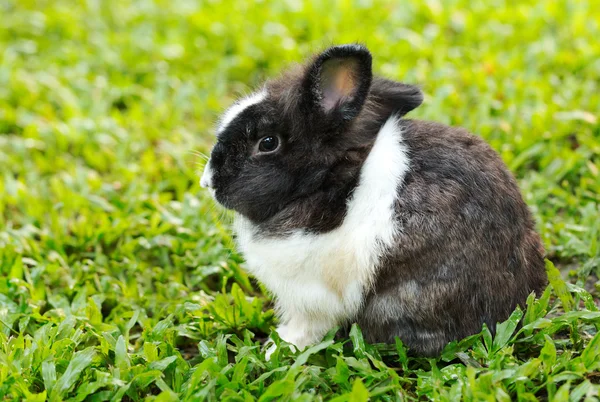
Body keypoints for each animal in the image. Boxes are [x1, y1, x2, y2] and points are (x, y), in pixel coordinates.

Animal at [200, 44, 548, 358]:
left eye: (267, 143)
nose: (208, 182)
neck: (324, 181)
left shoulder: (311, 296)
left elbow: (304, 327)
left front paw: (278, 347)